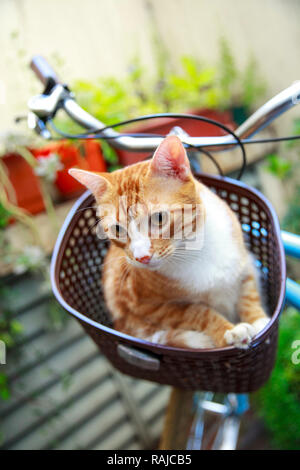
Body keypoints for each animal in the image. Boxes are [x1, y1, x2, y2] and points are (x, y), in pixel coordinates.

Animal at [69, 136, 270, 348]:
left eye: (158, 218)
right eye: (118, 229)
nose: (141, 257)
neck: (193, 251)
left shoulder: (245, 265)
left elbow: (248, 295)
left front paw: (259, 321)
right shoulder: (152, 308)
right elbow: (199, 313)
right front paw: (228, 331)